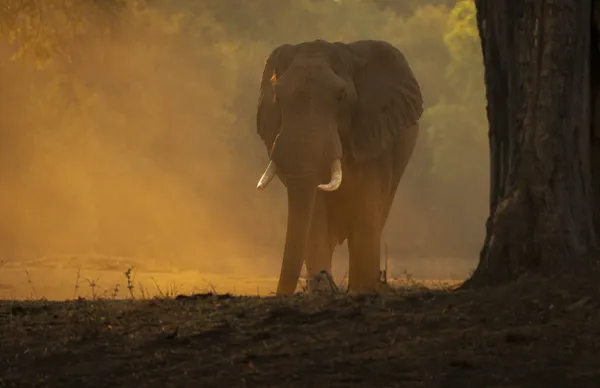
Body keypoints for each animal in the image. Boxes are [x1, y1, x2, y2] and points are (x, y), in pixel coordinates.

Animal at [255, 39, 424, 296]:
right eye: (278, 98)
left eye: (340, 97)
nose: (280, 294)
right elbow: (315, 215)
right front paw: (323, 289)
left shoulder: (374, 136)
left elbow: (366, 210)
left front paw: (361, 290)